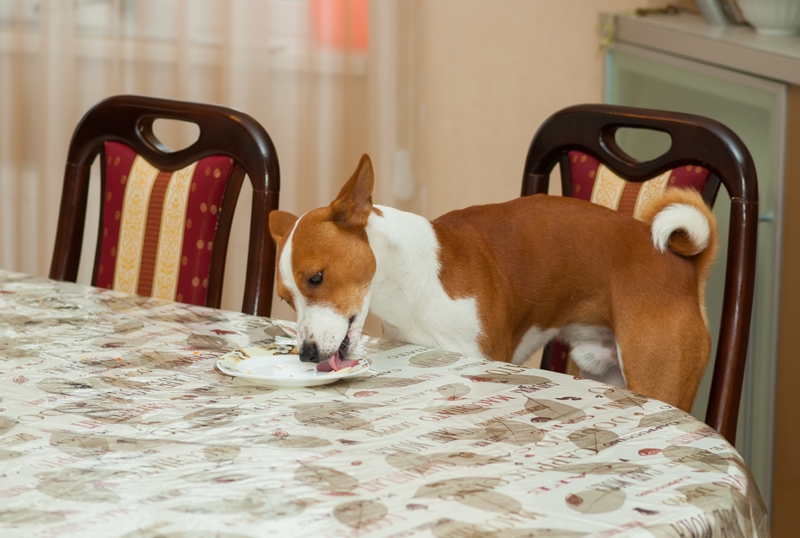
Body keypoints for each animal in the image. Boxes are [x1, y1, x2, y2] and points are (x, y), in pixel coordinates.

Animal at [268, 153, 720, 408]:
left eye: (317, 278)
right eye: (287, 299)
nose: (306, 353)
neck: (410, 288)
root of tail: (683, 266)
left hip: (654, 378)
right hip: (605, 370)